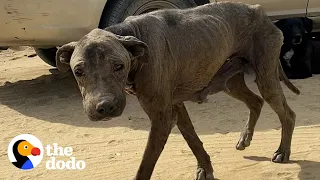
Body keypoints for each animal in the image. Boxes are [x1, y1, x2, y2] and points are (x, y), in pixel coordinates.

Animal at [54, 1, 300, 180]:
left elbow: (145, 166)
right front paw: (205, 168)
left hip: (266, 79)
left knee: (288, 113)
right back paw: (245, 138)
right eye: (78, 71)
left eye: (118, 66)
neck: (133, 37)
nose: (104, 107)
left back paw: (283, 151)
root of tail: (260, 11)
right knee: (256, 101)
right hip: (230, 82)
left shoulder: (162, 118)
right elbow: (193, 139)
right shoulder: (175, 106)